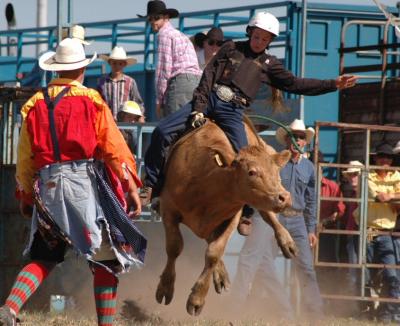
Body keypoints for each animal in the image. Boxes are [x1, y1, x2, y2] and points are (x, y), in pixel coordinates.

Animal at [155, 119, 298, 316]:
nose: (284, 197)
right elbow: (174, 247)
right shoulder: (168, 209)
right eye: (251, 172)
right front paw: (165, 288)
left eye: (277, 172)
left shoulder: (233, 215)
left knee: (269, 217)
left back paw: (287, 242)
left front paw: (197, 299)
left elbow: (214, 251)